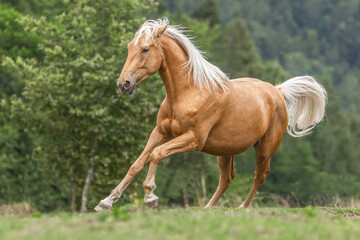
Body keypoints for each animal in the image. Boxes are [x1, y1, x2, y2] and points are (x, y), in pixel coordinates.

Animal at [93, 17, 326, 211]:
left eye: (145, 49)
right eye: (129, 47)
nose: (123, 84)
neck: (187, 92)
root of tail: (277, 91)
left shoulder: (193, 139)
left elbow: (156, 154)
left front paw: (150, 196)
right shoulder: (160, 132)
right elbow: (137, 164)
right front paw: (106, 202)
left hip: (265, 149)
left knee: (259, 176)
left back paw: (242, 207)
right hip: (226, 151)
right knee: (227, 178)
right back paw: (208, 208)